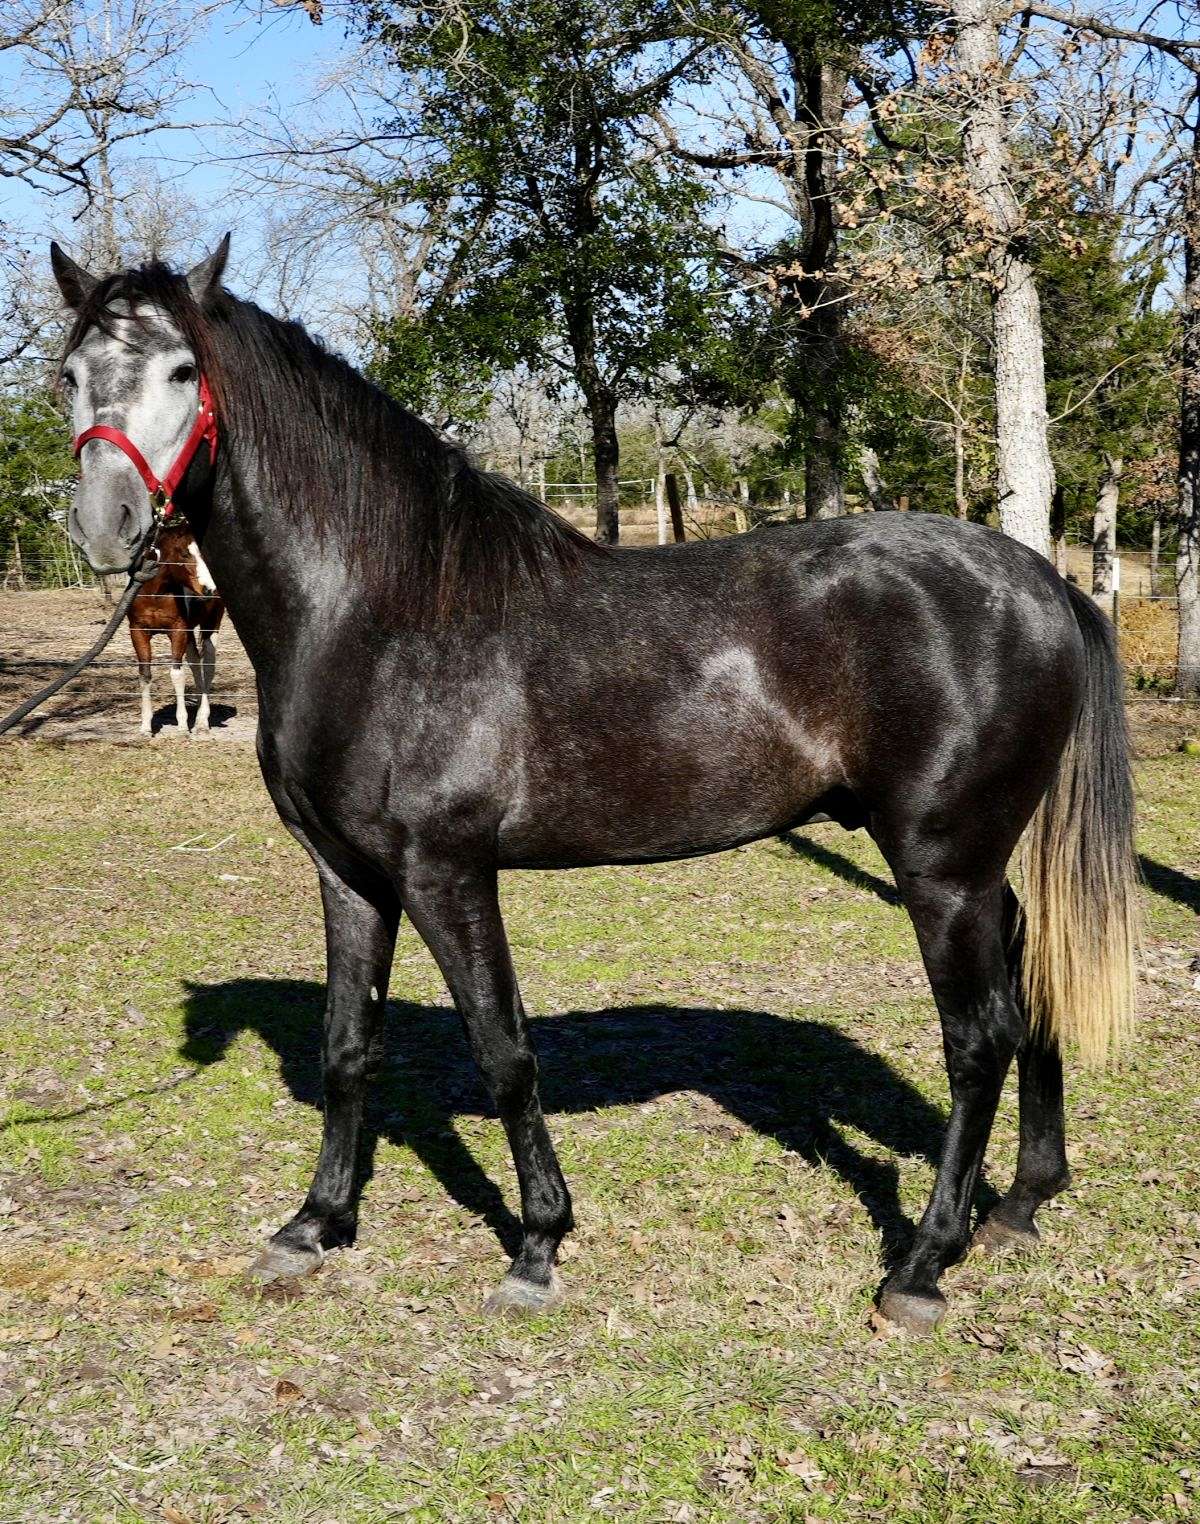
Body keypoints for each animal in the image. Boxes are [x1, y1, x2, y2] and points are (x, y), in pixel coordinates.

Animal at [126, 521, 223, 735]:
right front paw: (145, 727)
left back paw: (202, 722)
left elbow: (177, 674)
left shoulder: (177, 631)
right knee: (195, 662)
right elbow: (144, 674)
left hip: (210, 625)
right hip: (190, 632)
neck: (154, 594)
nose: (209, 589)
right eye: (184, 554)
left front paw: (182, 726)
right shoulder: (138, 632)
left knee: (208, 665)